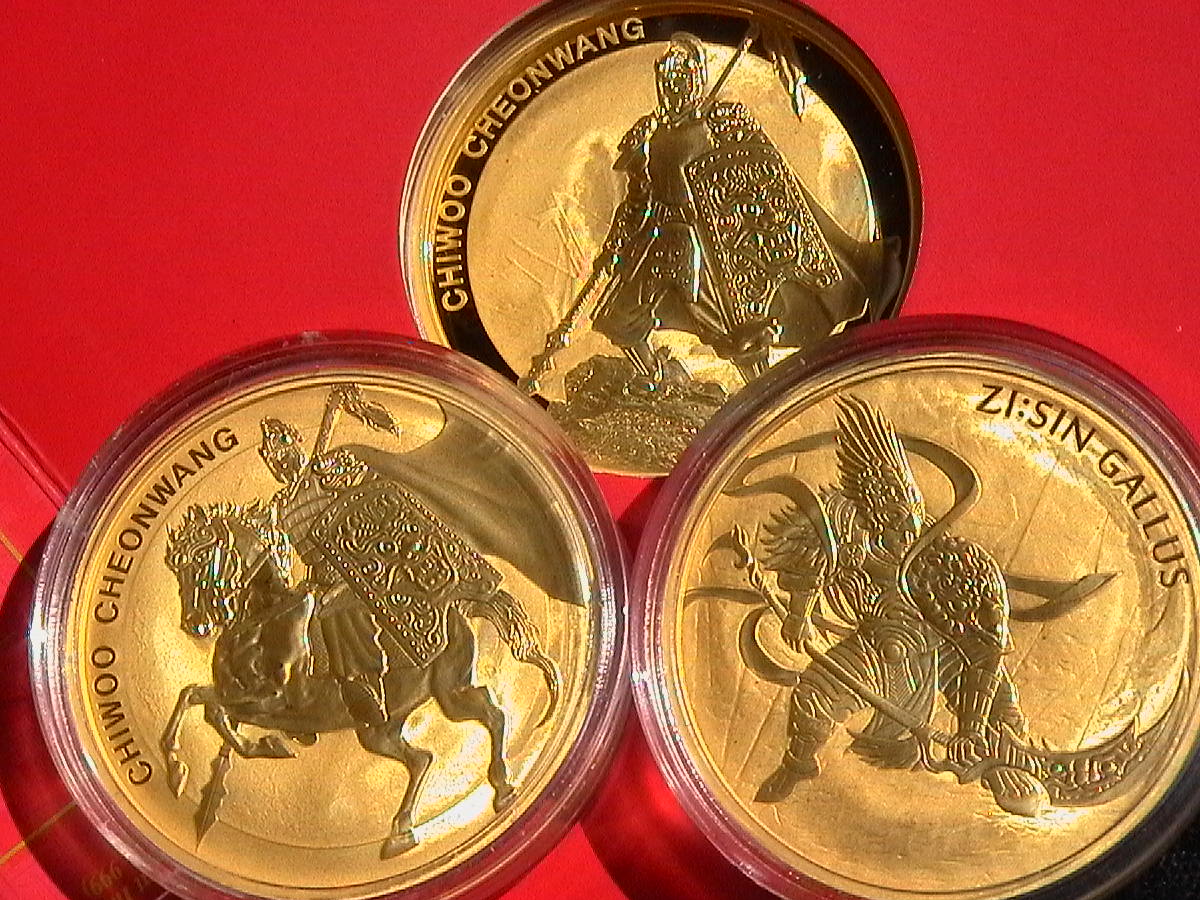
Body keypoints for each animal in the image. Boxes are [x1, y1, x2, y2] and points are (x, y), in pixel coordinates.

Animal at [159, 501, 561, 858]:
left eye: (201, 557)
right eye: (178, 566)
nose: (196, 624)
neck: (264, 619)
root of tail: (458, 610)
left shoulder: (279, 701)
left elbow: (213, 708)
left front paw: (266, 746)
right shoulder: (246, 697)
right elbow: (194, 696)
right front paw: (180, 769)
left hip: (450, 693)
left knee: (493, 713)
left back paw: (504, 786)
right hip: (379, 729)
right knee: (422, 758)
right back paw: (400, 833)